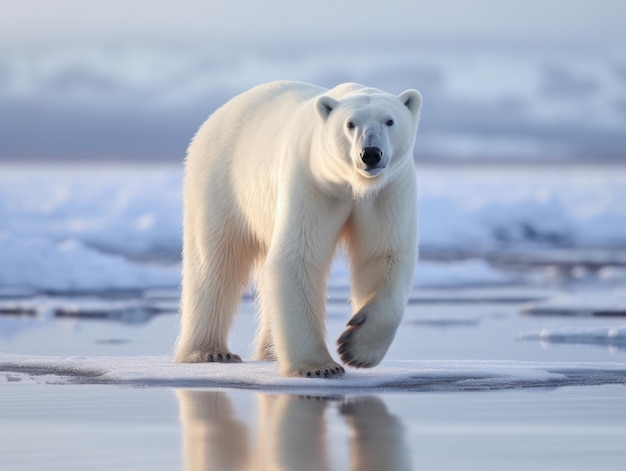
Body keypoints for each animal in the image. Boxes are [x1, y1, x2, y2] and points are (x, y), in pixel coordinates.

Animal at [173, 79, 422, 378]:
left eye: (389, 120)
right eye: (350, 124)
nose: (370, 154)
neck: (351, 185)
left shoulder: (387, 192)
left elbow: (384, 255)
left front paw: (356, 348)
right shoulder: (312, 181)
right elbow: (299, 257)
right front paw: (320, 367)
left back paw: (269, 351)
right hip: (220, 180)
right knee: (215, 262)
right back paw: (209, 352)